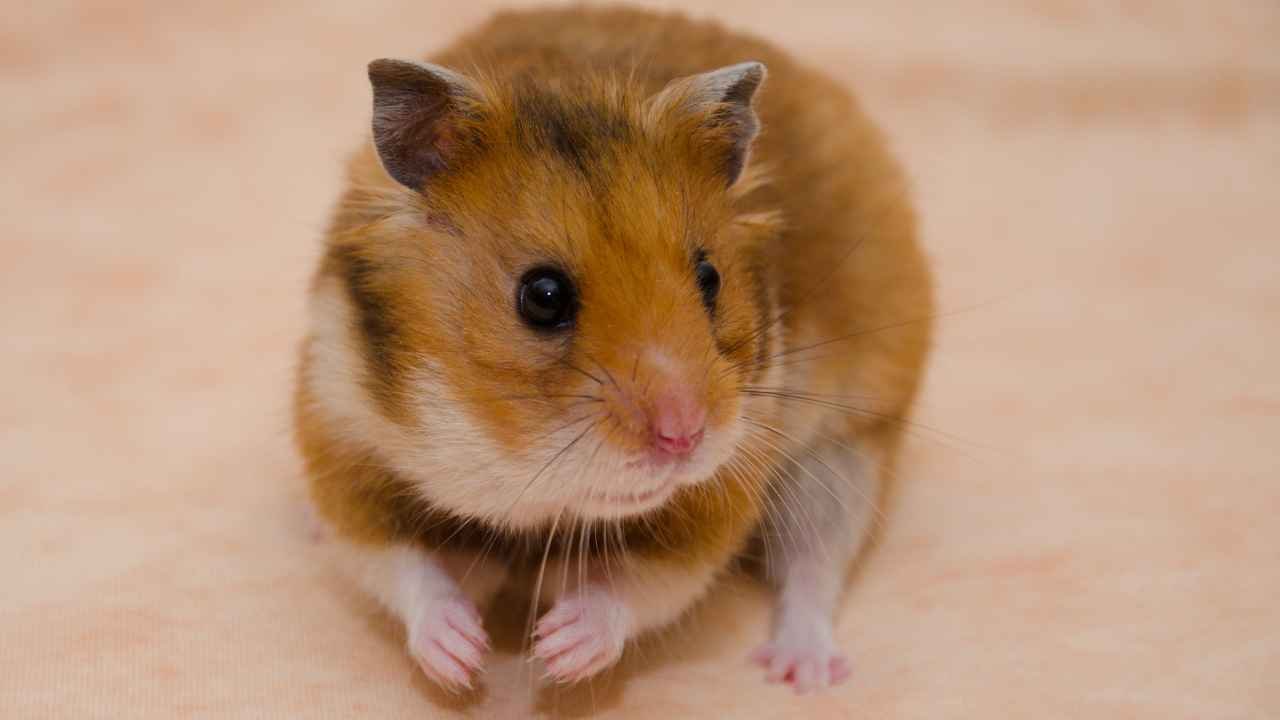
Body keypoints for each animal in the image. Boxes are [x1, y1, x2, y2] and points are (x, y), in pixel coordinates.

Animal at [294, 6, 932, 695]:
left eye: (710, 277)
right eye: (542, 296)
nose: (685, 437)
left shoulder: (720, 493)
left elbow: (639, 585)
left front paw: (556, 649)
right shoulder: (344, 438)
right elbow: (403, 567)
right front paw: (463, 658)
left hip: (843, 451)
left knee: (816, 563)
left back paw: (804, 674)